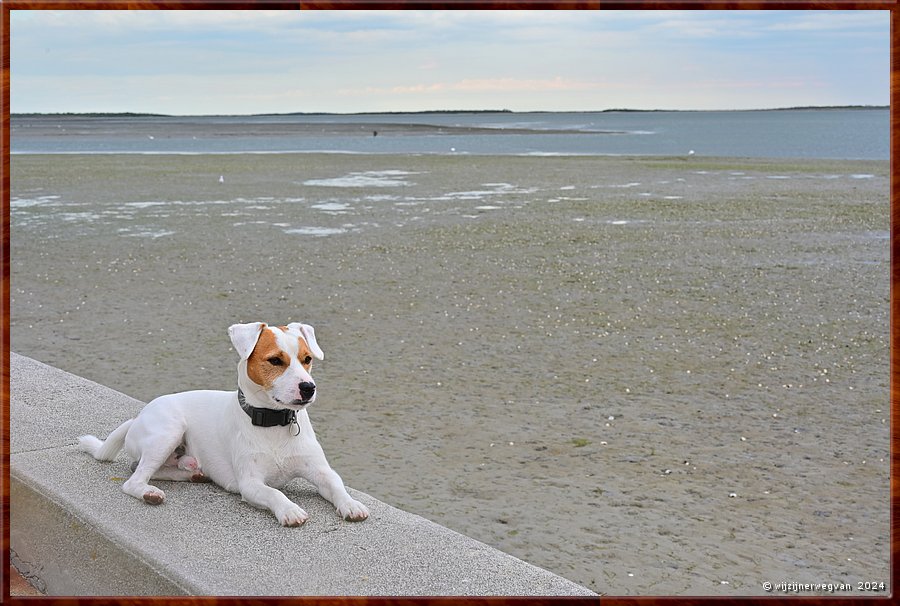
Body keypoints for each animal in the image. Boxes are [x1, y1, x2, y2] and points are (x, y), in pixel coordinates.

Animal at [78, 324, 370, 528]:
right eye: (275, 360)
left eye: (307, 359)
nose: (308, 387)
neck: (274, 424)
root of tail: (138, 417)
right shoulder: (250, 483)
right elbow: (274, 493)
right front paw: (289, 509)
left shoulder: (322, 472)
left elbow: (337, 486)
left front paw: (352, 504)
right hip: (168, 431)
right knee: (134, 478)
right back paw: (150, 492)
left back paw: (193, 472)